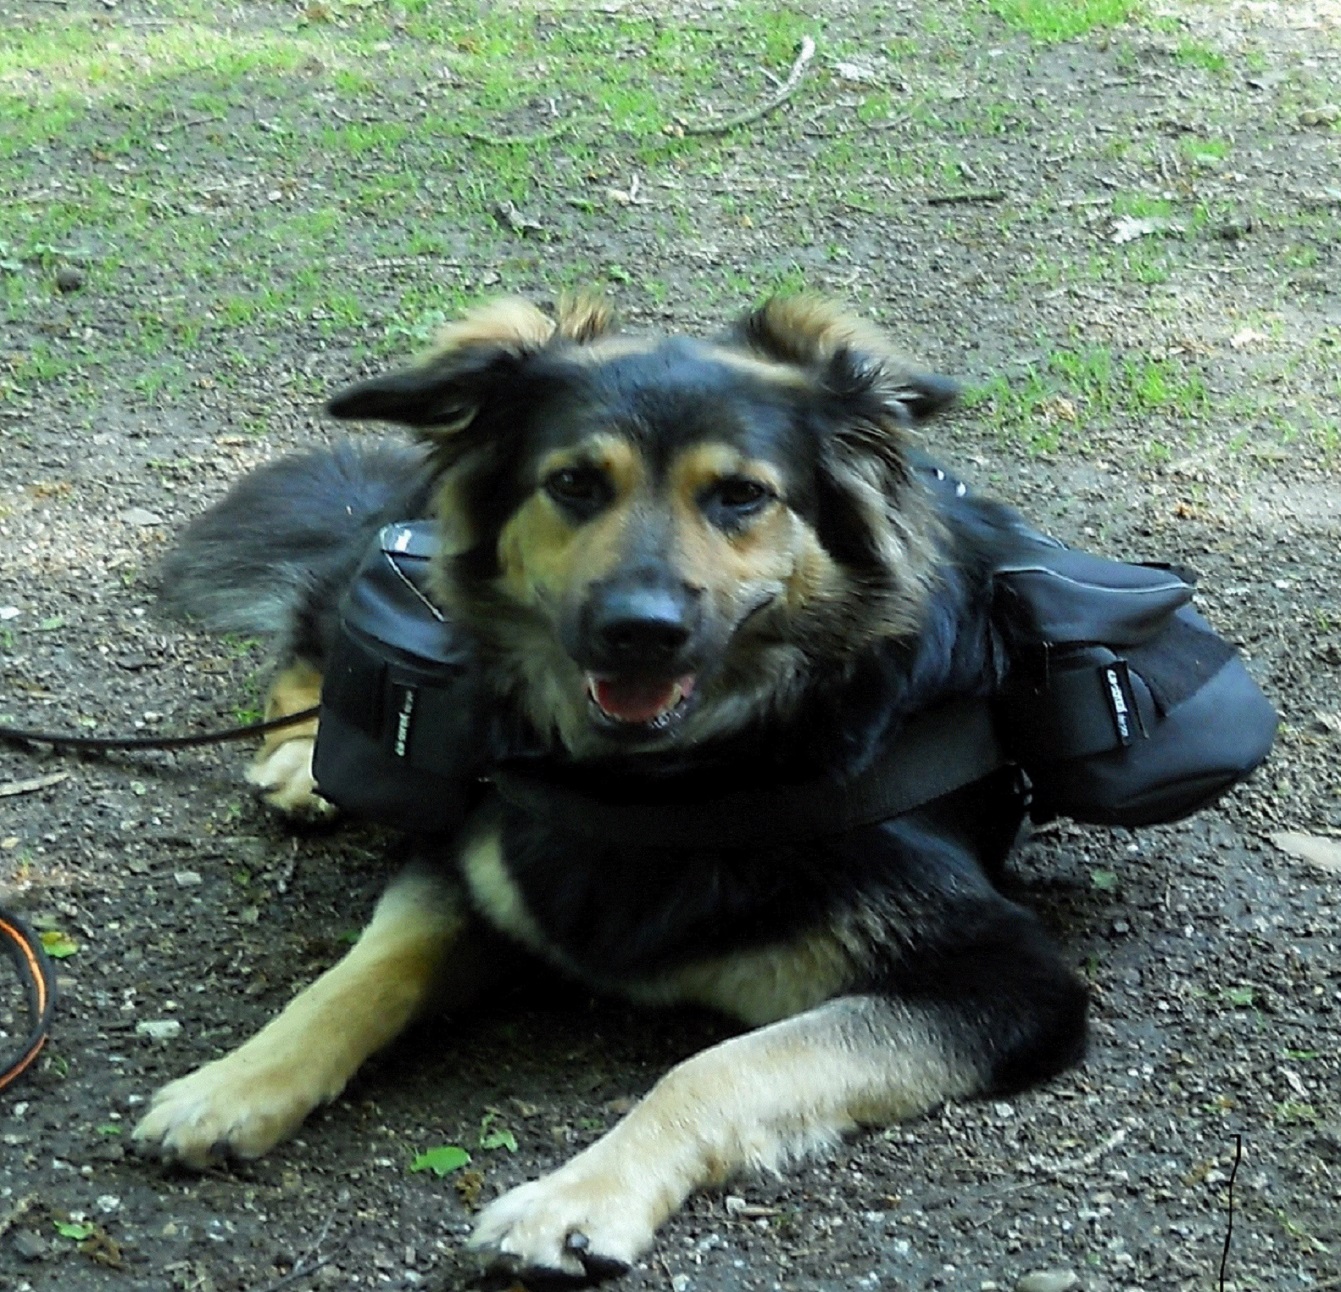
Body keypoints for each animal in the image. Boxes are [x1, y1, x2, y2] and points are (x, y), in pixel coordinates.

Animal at [130, 295, 1088, 1282]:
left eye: (741, 495)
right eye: (575, 484)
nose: (640, 631)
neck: (662, 781)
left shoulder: (1005, 980)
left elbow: (719, 1065)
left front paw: (576, 1200)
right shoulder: (475, 855)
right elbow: (357, 976)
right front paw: (233, 1081)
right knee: (318, 620)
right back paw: (299, 763)